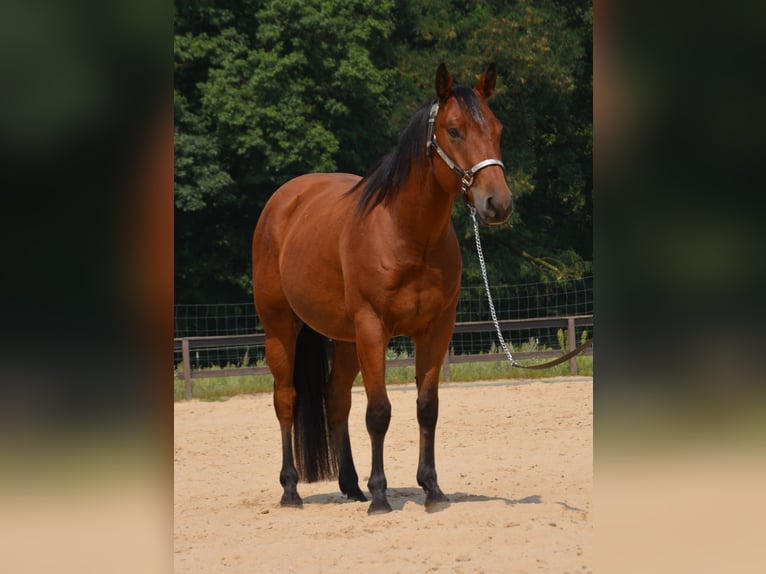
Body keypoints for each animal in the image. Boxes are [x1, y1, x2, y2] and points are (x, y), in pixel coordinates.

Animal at [251, 63, 513, 514]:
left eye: (496, 128)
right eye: (454, 130)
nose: (498, 203)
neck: (407, 235)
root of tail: (284, 202)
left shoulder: (436, 330)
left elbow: (427, 407)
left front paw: (432, 490)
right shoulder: (374, 329)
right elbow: (379, 412)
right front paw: (380, 495)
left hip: (344, 339)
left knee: (336, 399)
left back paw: (351, 485)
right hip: (281, 330)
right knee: (286, 399)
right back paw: (292, 490)